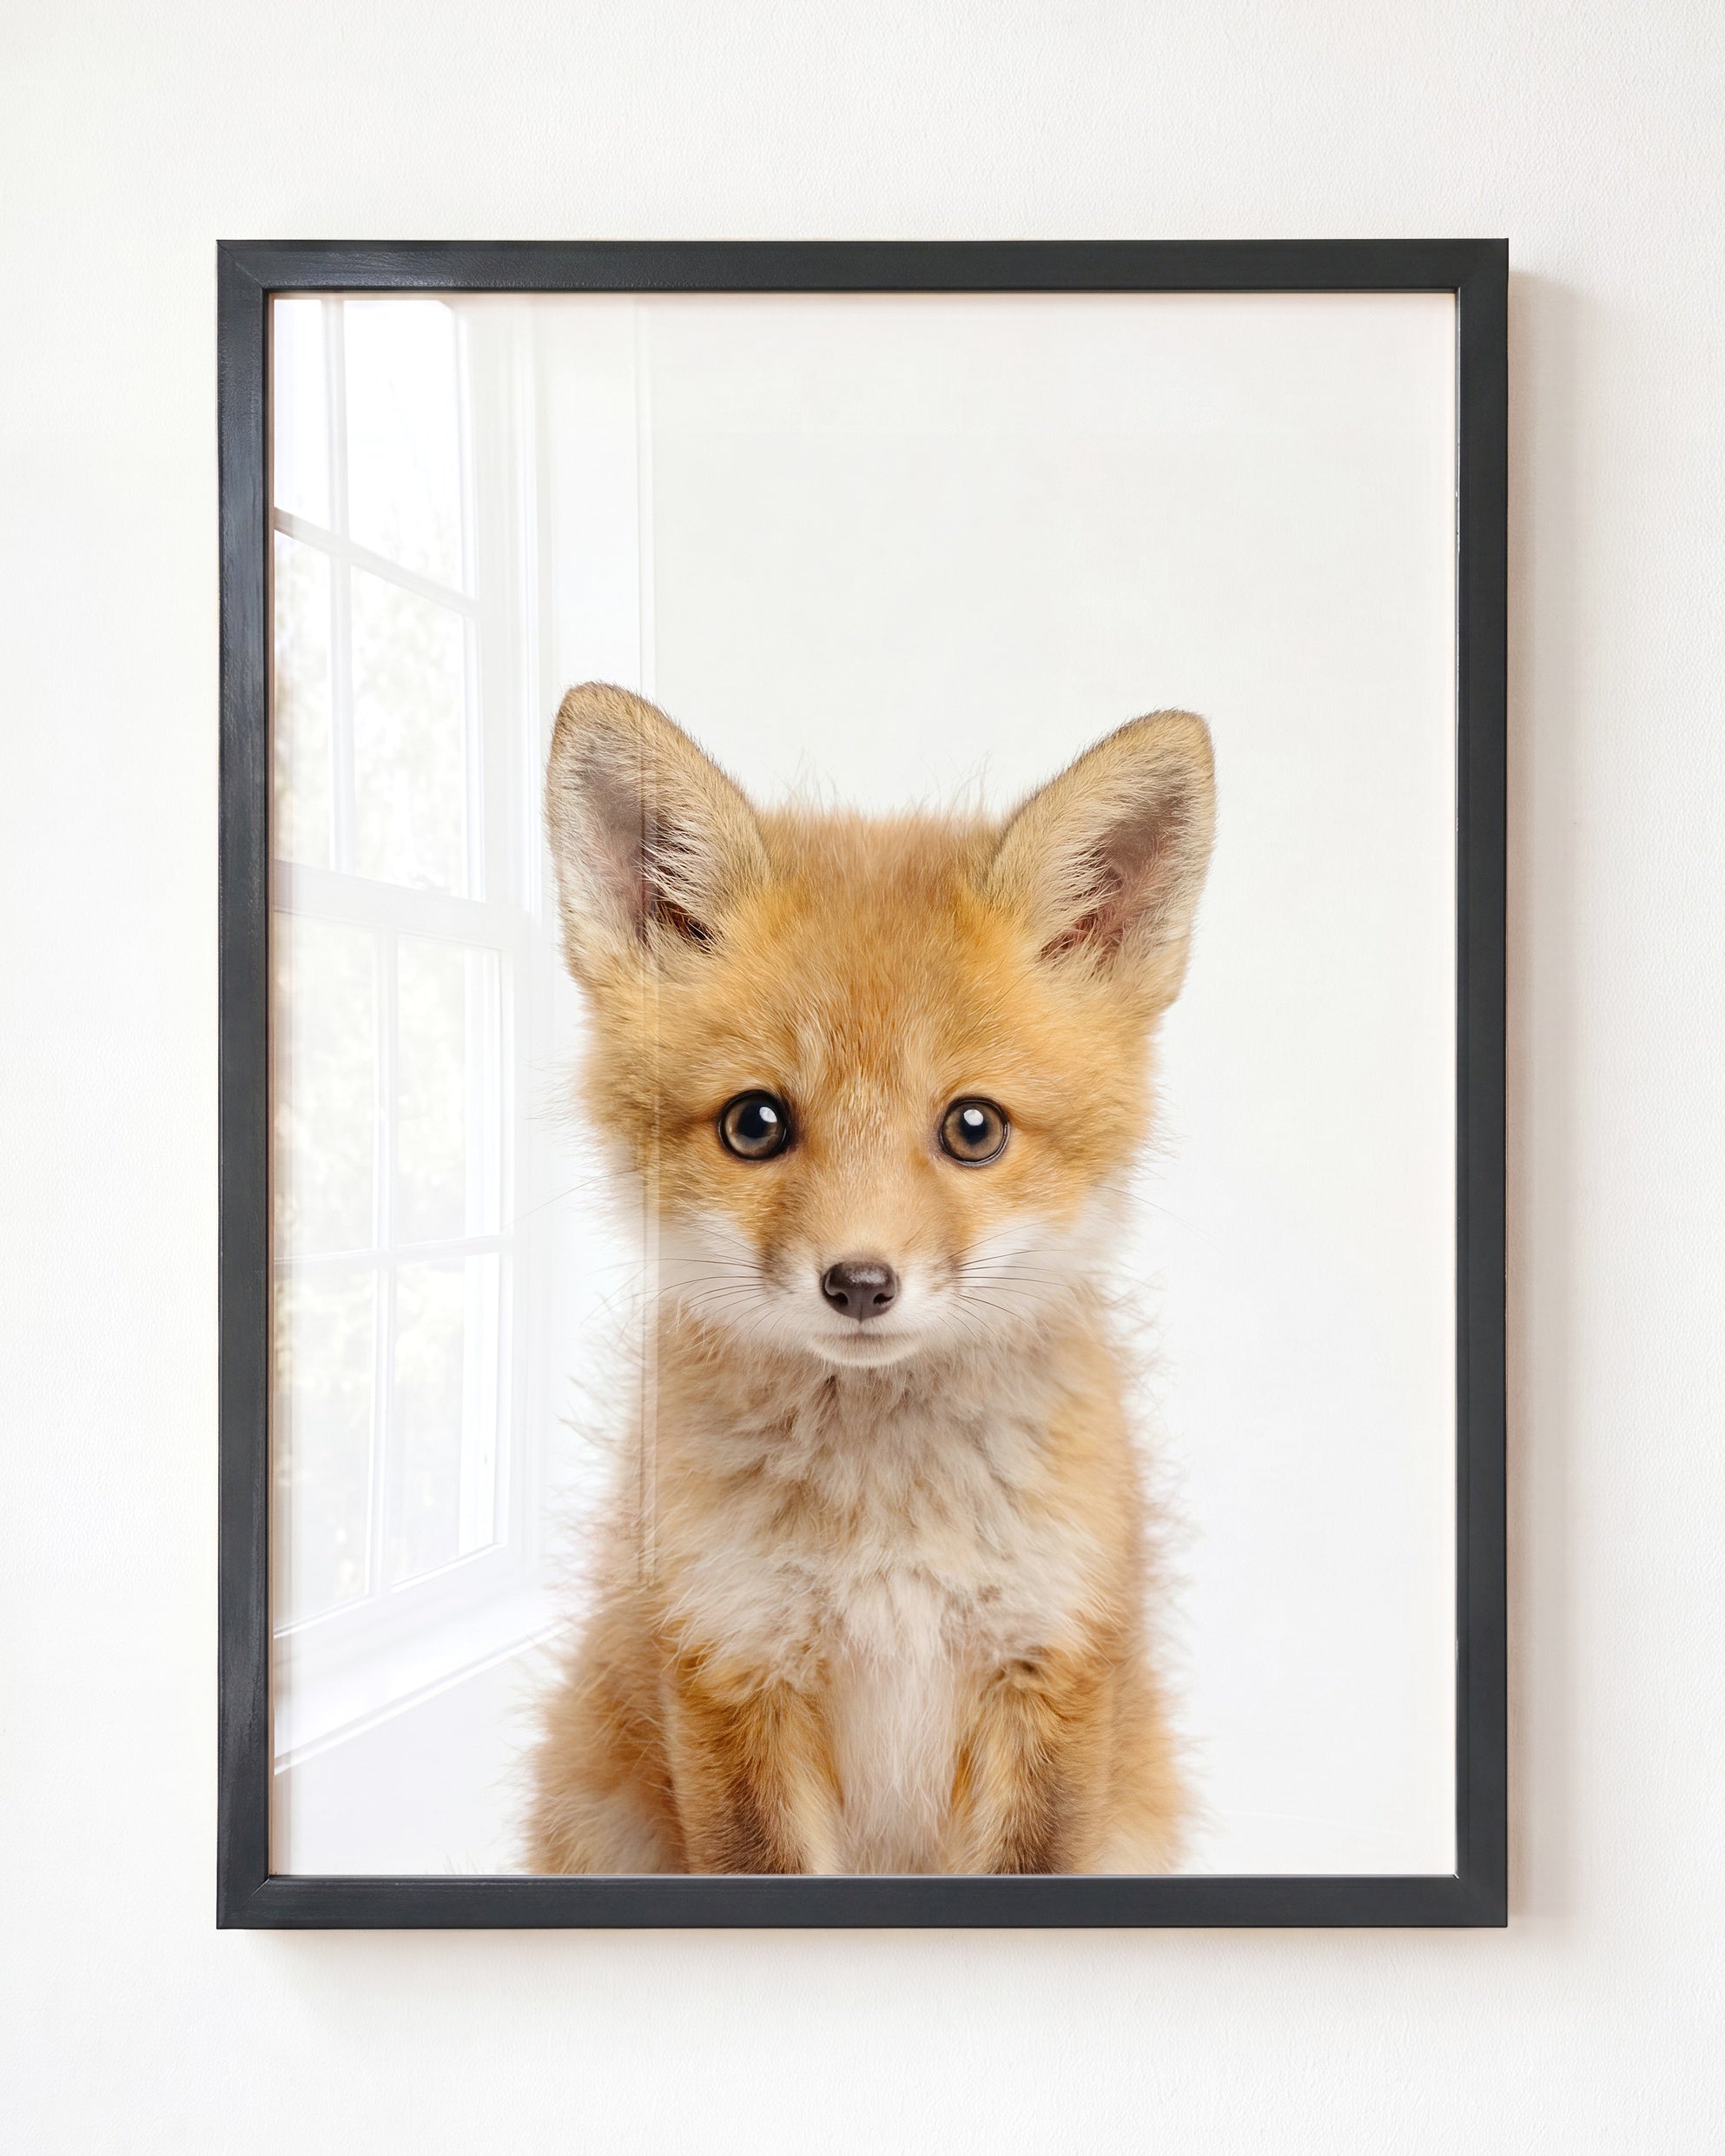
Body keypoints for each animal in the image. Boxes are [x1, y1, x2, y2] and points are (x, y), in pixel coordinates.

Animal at [524, 682, 1216, 1875]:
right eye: (755, 1123)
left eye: (974, 1128)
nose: (858, 1283)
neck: (888, 1530)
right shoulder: (731, 1663)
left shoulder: (1050, 1667)